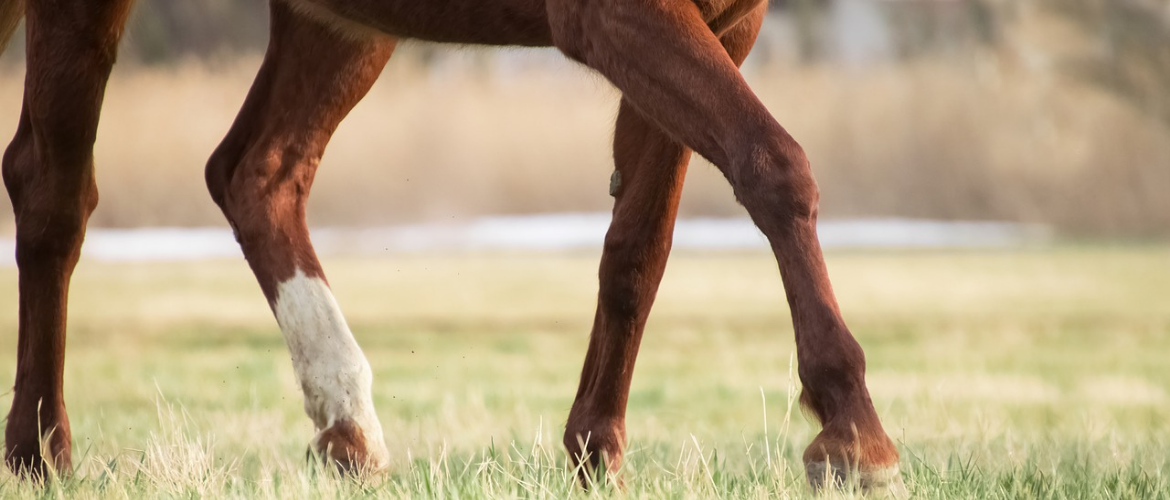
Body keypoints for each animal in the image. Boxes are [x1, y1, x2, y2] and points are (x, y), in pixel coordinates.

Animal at [0, 0, 898, 494]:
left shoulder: (725, 23)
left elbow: (639, 246)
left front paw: (594, 452)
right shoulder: (622, 13)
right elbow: (774, 166)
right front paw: (854, 433)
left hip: (344, 23)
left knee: (256, 172)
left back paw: (349, 428)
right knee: (50, 190)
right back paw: (41, 454)